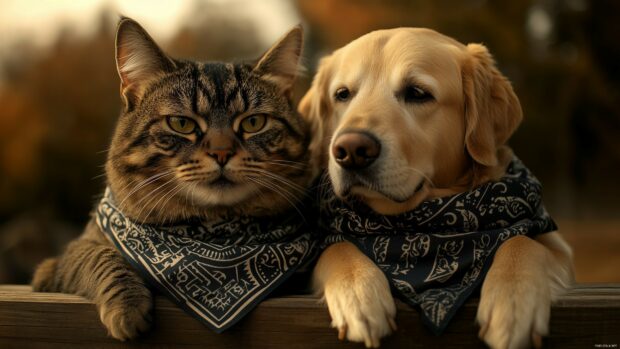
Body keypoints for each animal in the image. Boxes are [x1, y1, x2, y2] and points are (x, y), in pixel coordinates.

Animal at [30, 17, 314, 338]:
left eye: (254, 122)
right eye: (181, 123)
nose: (221, 152)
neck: (210, 233)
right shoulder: (59, 262)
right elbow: (100, 257)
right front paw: (127, 308)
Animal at [298, 28, 572, 346]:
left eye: (417, 93)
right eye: (342, 94)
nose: (351, 150)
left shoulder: (560, 252)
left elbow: (523, 241)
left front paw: (513, 302)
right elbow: (337, 246)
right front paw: (358, 293)